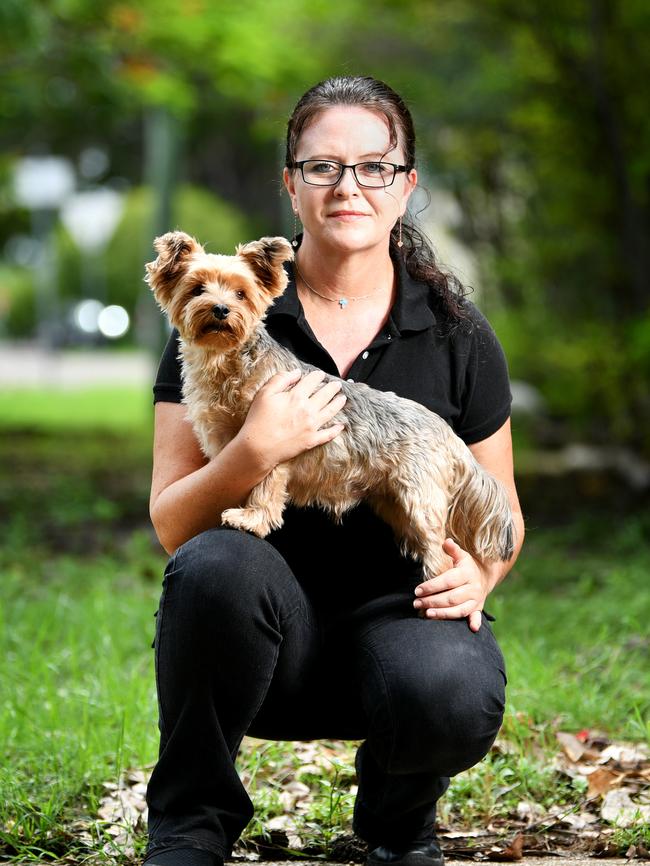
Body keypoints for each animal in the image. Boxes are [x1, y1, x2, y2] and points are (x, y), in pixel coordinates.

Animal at [146, 233, 512, 576]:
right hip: (393, 499)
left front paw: (252, 518)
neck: (226, 361)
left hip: (419, 498)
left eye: (240, 294)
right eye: (197, 289)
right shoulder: (227, 446)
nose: (221, 309)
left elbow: (266, 484)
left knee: (442, 557)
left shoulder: (273, 449)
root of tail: (446, 433)